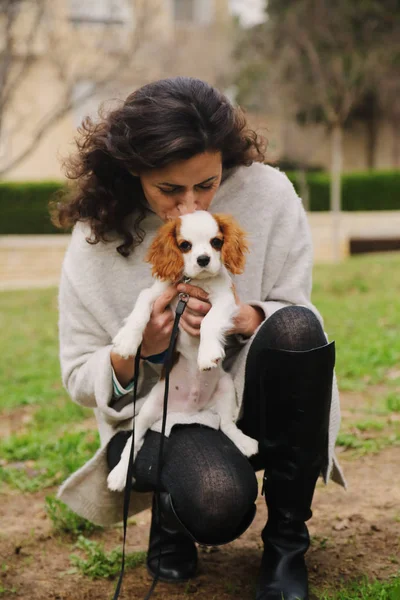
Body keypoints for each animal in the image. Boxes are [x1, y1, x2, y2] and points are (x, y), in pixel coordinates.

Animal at [107, 211, 260, 492]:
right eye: (185, 245)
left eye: (216, 242)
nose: (203, 259)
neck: (196, 282)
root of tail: (189, 412)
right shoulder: (156, 293)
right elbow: (141, 308)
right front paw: (127, 341)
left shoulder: (224, 299)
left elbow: (210, 320)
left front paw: (207, 353)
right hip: (147, 411)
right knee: (132, 444)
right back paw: (119, 476)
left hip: (225, 390)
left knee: (227, 425)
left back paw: (244, 442)